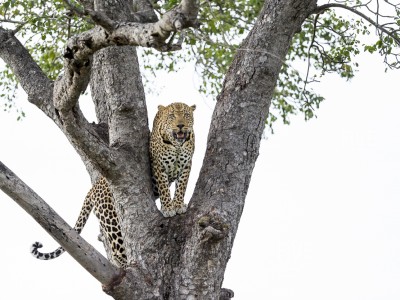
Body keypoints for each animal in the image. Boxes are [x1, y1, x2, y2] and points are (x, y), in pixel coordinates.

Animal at [30, 102, 195, 266]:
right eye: (172, 116)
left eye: (186, 115)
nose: (181, 125)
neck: (177, 145)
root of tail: (93, 189)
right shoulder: (158, 166)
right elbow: (164, 189)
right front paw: (168, 208)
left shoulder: (187, 165)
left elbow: (181, 187)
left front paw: (178, 205)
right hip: (111, 216)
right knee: (116, 248)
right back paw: (126, 265)